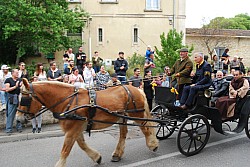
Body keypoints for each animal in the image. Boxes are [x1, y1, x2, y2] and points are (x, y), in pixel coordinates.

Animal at [19, 78, 158, 167]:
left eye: (25, 99)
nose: (19, 119)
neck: (68, 101)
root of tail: (136, 89)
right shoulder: (77, 127)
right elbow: (81, 144)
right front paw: (97, 157)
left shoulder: (73, 129)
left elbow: (65, 149)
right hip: (122, 117)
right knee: (123, 134)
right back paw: (117, 154)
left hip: (136, 114)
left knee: (146, 129)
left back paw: (153, 144)